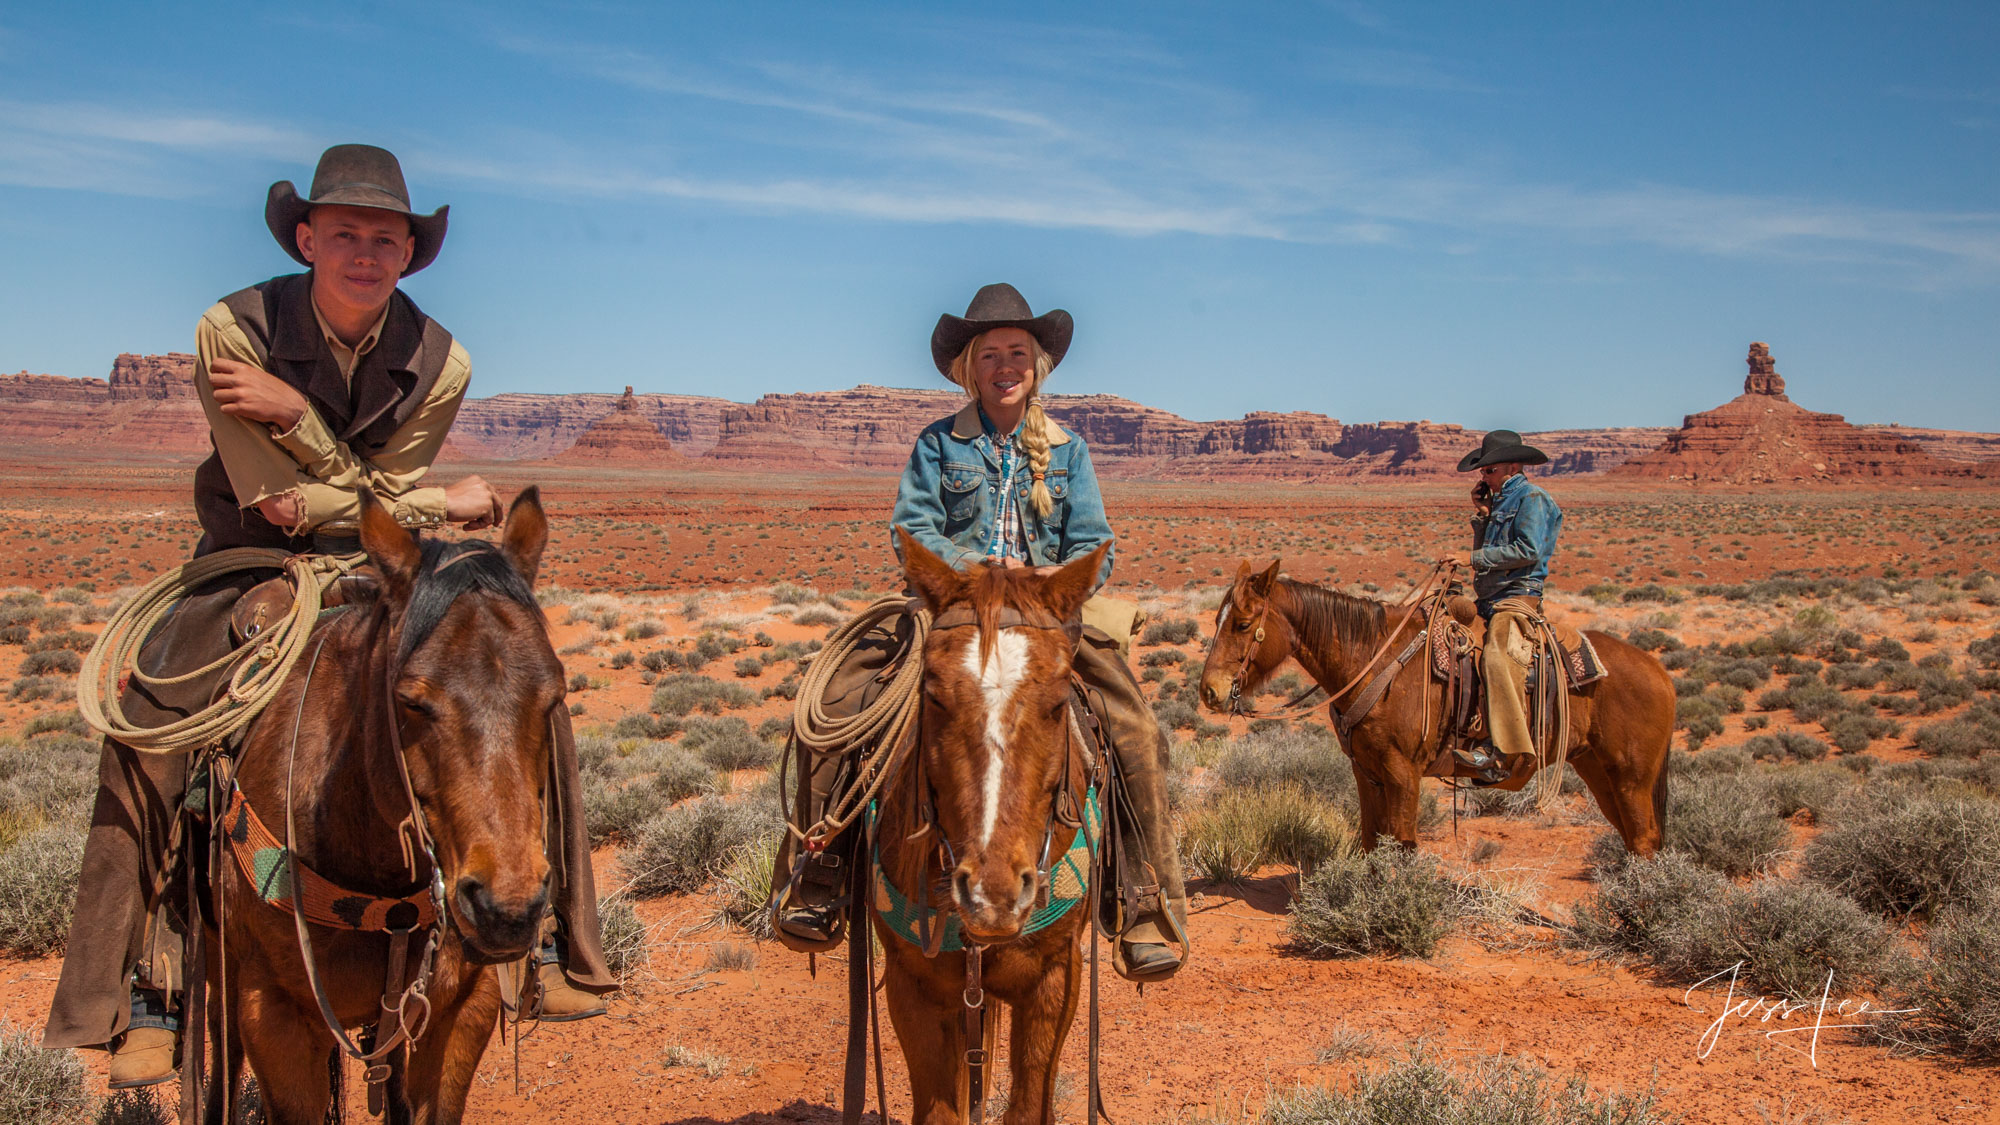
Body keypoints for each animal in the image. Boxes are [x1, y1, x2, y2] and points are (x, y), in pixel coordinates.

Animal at [880, 528, 1112, 1120]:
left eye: (1059, 701)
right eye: (933, 694)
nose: (993, 896)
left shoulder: (1056, 978)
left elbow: (1029, 1106)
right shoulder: (911, 985)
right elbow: (942, 1109)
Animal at [1192, 556, 1680, 852]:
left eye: (1241, 624)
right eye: (1217, 619)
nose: (1210, 691)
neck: (1376, 659)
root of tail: (1660, 672)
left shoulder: (1403, 773)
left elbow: (1403, 843)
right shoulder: (1366, 772)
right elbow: (1372, 841)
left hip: (1632, 778)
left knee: (1644, 840)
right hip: (1598, 770)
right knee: (1635, 839)